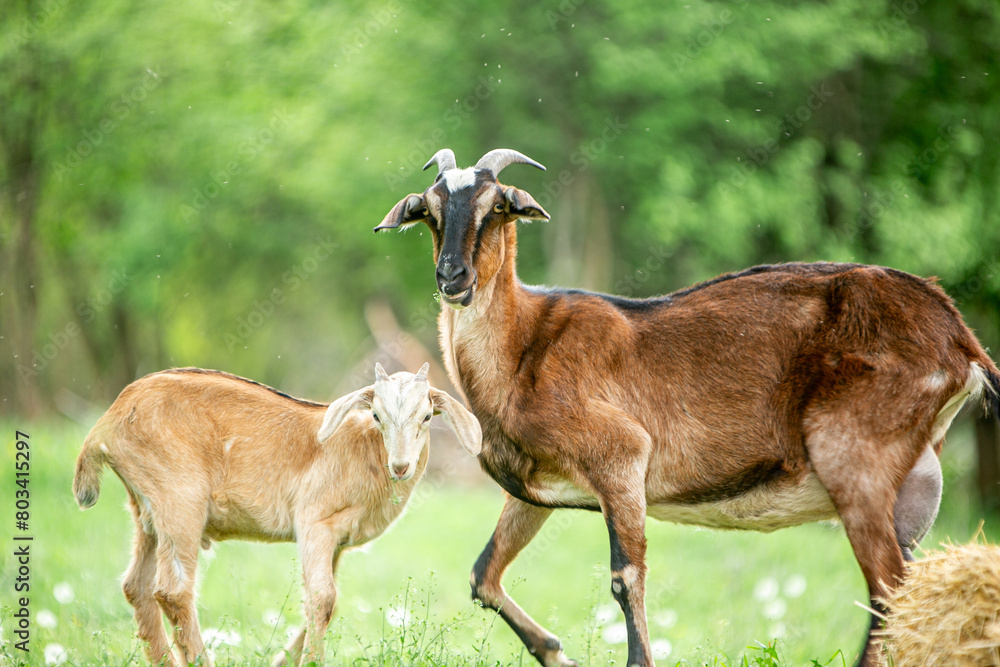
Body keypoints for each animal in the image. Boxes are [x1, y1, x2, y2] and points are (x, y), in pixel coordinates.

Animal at [72, 363, 481, 667]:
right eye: (377, 415)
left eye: (427, 416)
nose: (400, 465)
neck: (362, 449)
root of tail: (109, 421)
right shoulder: (315, 522)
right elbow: (323, 599)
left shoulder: (337, 541)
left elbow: (319, 601)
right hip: (179, 500)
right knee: (172, 592)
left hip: (146, 509)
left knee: (136, 586)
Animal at [375, 147, 1000, 667]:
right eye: (430, 209)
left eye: (498, 206)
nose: (452, 277)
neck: (524, 347)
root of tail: (958, 339)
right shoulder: (536, 491)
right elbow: (484, 575)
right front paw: (557, 653)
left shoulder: (621, 458)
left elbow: (625, 578)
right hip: (909, 483)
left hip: (854, 456)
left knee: (886, 589)